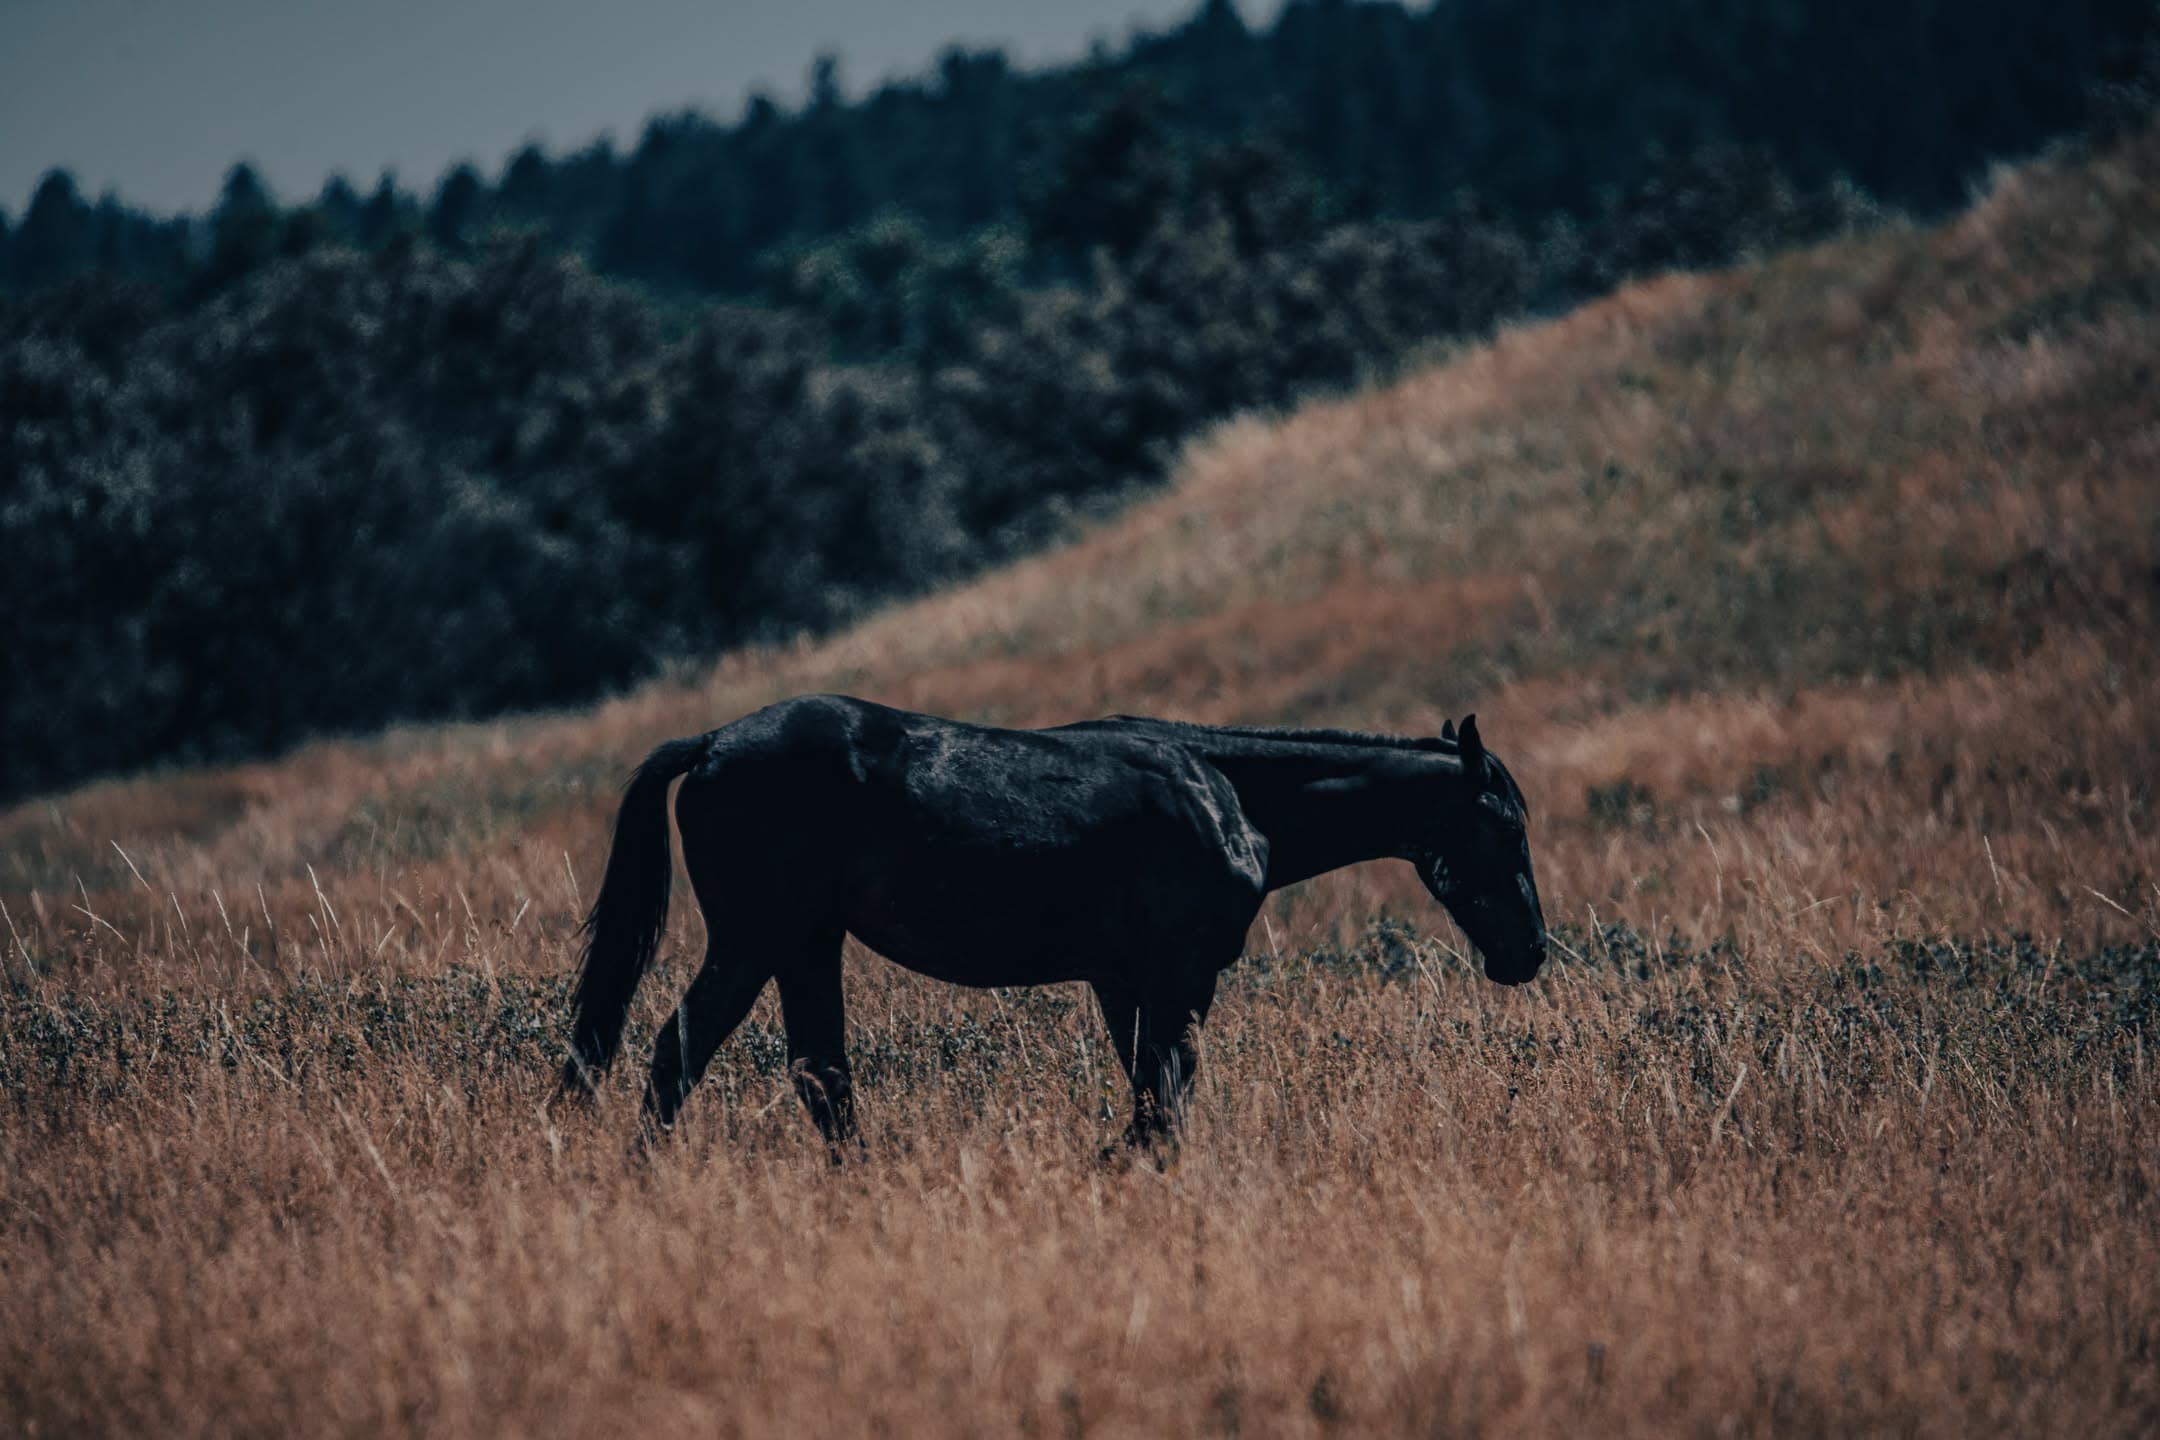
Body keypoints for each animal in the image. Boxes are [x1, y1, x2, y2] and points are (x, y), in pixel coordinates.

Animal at [556, 695, 1547, 1148]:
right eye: (1505, 822)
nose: (1530, 952)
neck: (1225, 794)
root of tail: (713, 744)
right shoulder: (1177, 975)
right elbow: (1162, 1100)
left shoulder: (1121, 980)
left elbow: (1154, 1095)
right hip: (759, 938)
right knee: (679, 1052)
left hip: (805, 944)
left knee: (820, 1074)